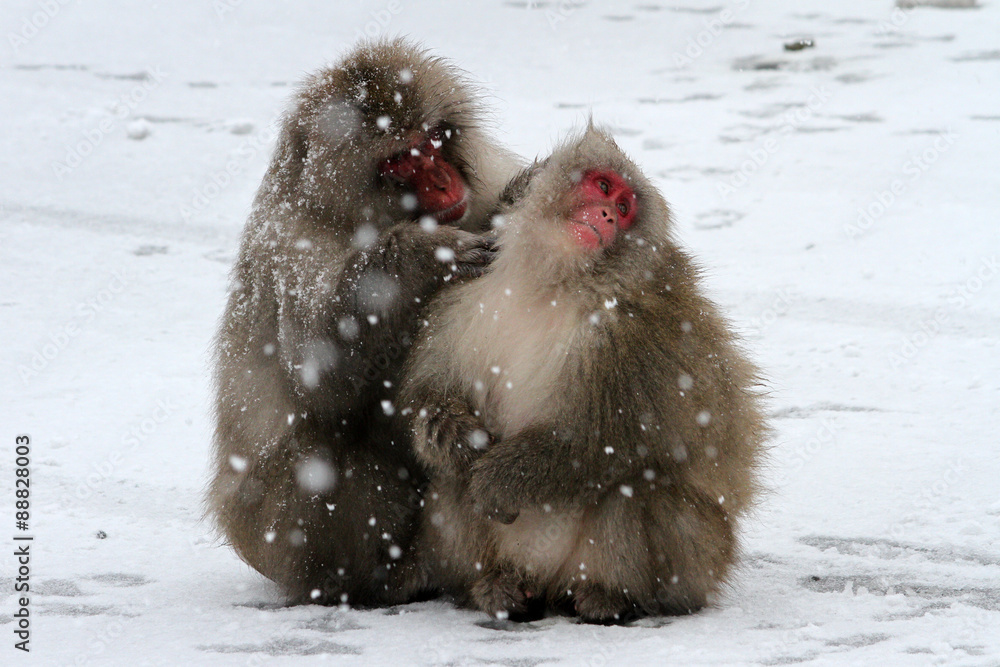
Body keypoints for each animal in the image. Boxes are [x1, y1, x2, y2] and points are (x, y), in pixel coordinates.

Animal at [207, 38, 524, 607]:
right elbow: (318, 376)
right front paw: (423, 256)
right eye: (402, 159)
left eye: (435, 140)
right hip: (272, 538)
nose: (443, 181)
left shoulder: (486, 180)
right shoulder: (289, 243)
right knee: (318, 454)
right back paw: (381, 579)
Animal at [401, 125, 768, 623]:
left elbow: (597, 443)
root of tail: (547, 584)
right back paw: (493, 585)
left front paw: (497, 481)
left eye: (626, 207)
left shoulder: (627, 338)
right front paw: (458, 437)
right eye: (603, 186)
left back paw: (613, 597)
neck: (551, 281)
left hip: (700, 558)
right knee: (447, 478)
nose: (609, 214)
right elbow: (430, 393)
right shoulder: (458, 296)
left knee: (634, 484)